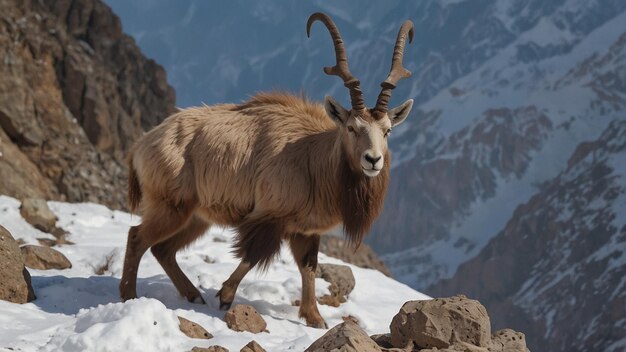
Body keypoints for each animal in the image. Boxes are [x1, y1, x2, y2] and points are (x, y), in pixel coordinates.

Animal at [120, 12, 414, 328]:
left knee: (163, 249)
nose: (372, 160)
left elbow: (309, 267)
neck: (312, 159)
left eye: (386, 130)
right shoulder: (269, 217)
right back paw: (128, 295)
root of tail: (141, 145)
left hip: (195, 217)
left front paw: (315, 318)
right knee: (137, 238)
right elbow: (252, 255)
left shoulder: (305, 230)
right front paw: (225, 296)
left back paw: (193, 294)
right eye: (351, 127)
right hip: (169, 206)